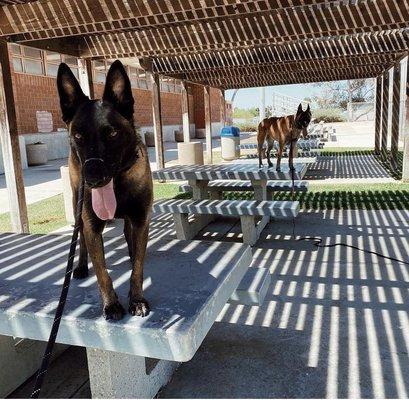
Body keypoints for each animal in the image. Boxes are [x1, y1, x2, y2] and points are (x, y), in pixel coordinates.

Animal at [56, 61, 152, 320]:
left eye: (112, 133)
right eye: (78, 135)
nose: (92, 179)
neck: (117, 185)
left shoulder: (141, 220)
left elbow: (138, 267)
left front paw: (137, 299)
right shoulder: (92, 226)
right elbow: (102, 273)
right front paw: (111, 304)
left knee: (130, 238)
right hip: (77, 207)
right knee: (79, 238)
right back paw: (80, 266)